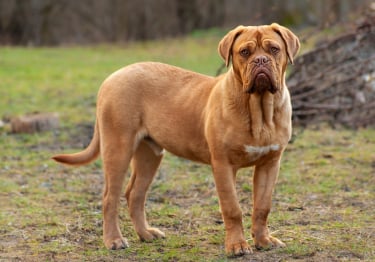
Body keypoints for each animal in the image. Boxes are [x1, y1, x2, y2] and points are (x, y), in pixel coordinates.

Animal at [52, 23, 300, 256]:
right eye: (245, 52)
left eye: (274, 49)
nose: (260, 60)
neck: (260, 110)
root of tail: (112, 77)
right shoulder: (223, 165)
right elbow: (232, 208)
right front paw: (237, 245)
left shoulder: (270, 164)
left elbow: (262, 207)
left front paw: (263, 241)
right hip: (118, 149)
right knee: (109, 198)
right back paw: (113, 240)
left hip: (149, 154)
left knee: (135, 194)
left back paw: (146, 234)